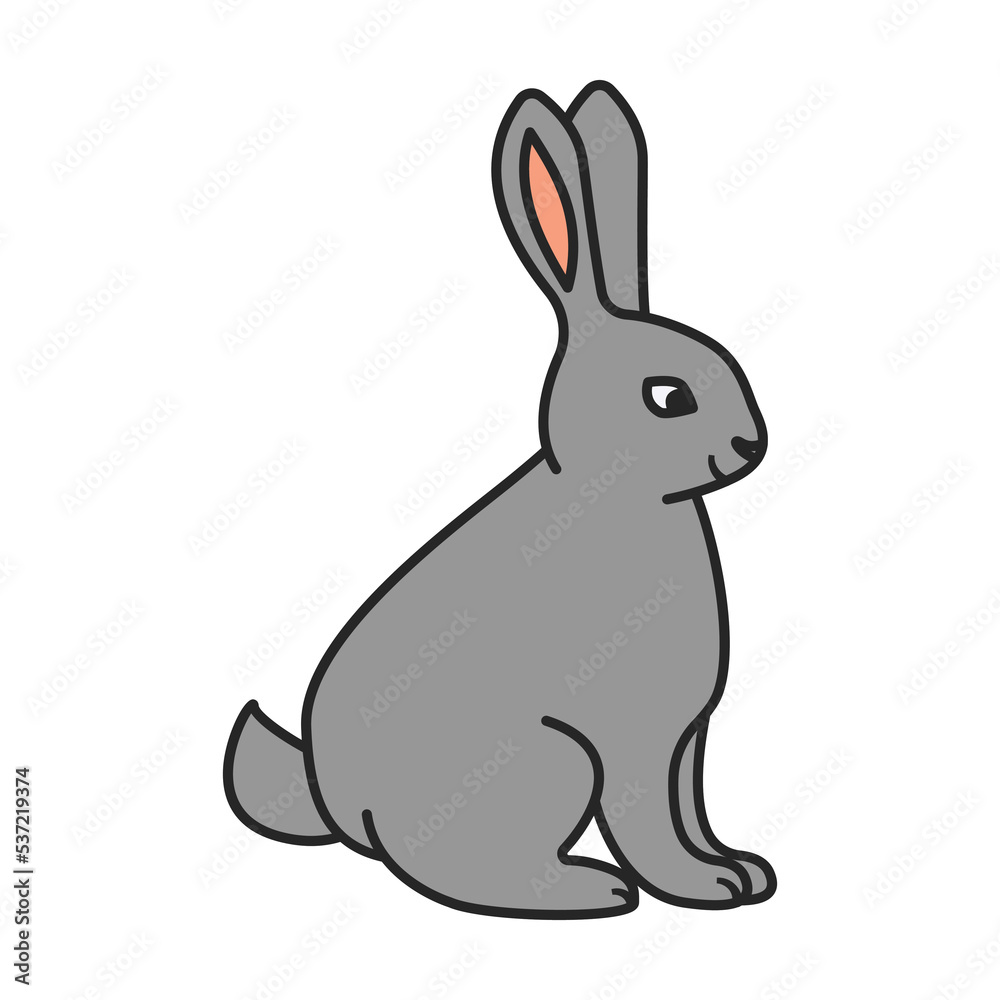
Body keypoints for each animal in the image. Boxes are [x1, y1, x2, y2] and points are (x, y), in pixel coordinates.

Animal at [224, 81, 776, 918]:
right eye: (668, 397)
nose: (751, 445)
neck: (613, 493)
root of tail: (342, 807)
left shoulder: (687, 738)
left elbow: (689, 808)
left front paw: (738, 870)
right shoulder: (635, 738)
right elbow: (650, 820)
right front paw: (704, 886)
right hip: (555, 761)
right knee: (456, 868)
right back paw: (586, 890)